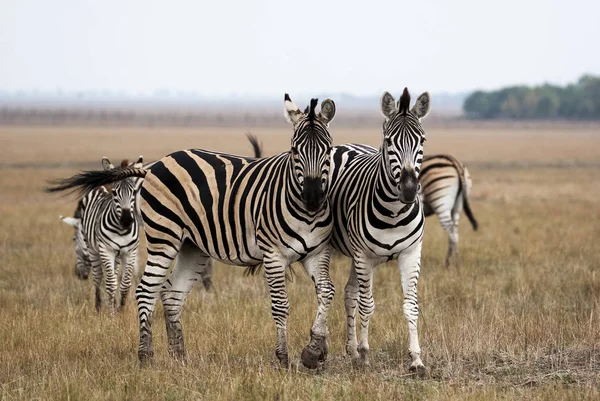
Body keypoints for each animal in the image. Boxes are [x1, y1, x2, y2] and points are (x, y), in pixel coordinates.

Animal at [49, 156, 144, 312]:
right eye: (115, 193)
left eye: (134, 192)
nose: (126, 221)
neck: (121, 230)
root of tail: (101, 185)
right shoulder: (106, 250)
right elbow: (111, 283)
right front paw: (111, 313)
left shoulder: (130, 251)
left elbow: (125, 284)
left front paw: (121, 311)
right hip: (94, 250)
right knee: (99, 277)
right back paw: (98, 308)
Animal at [328, 87, 432, 372]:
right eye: (389, 141)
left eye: (422, 140)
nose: (408, 189)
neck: (394, 213)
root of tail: (348, 145)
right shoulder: (365, 256)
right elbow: (368, 304)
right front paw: (365, 353)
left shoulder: (411, 253)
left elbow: (411, 305)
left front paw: (416, 359)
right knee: (335, 292)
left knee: (349, 292)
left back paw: (351, 349)